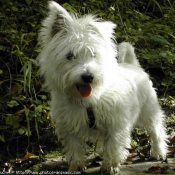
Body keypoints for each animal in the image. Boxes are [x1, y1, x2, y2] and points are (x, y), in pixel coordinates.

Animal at [37, 1, 167, 174]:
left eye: (93, 54)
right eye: (70, 56)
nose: (88, 77)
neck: (88, 101)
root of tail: (133, 65)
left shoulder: (116, 122)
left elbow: (113, 144)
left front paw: (110, 166)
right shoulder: (67, 125)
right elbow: (74, 147)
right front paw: (77, 166)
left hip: (148, 110)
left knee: (156, 129)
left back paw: (158, 152)